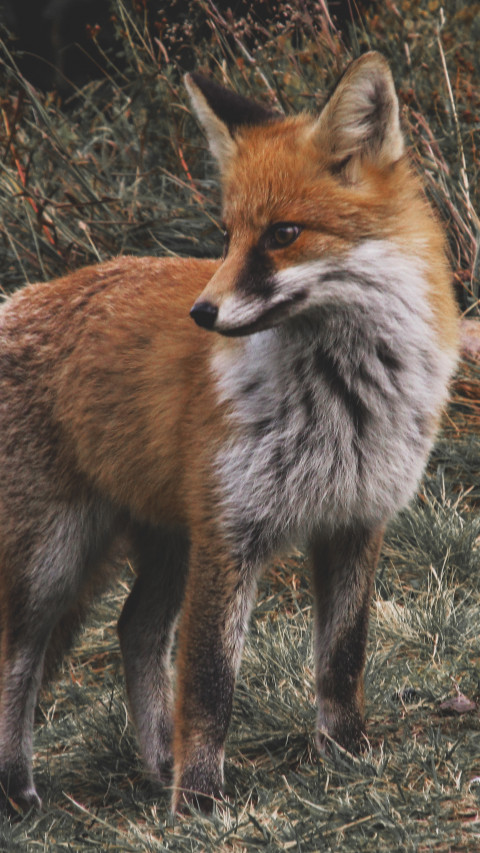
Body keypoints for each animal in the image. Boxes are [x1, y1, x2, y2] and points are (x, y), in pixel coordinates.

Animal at [0, 52, 459, 815]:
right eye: (227, 235)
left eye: (283, 234)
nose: (203, 312)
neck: (342, 399)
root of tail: (19, 298)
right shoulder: (230, 531)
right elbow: (210, 682)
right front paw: (199, 802)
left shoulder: (356, 519)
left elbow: (342, 658)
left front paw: (345, 754)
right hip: (53, 560)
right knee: (19, 660)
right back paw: (20, 790)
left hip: (165, 542)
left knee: (135, 630)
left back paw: (157, 762)